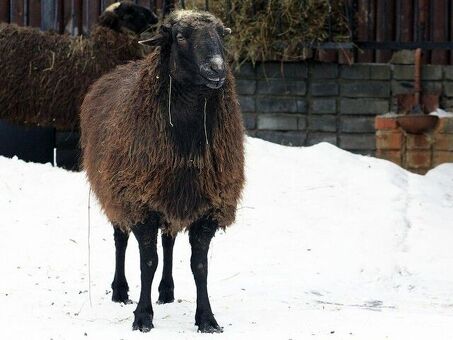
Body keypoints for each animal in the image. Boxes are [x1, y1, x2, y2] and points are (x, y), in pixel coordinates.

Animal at [80, 9, 245, 332]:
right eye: (179, 36)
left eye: (222, 34)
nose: (216, 68)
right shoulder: (139, 200)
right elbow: (148, 263)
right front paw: (143, 317)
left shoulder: (208, 206)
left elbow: (199, 265)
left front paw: (207, 319)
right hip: (116, 191)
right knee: (121, 240)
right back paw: (120, 291)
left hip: (169, 195)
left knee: (168, 241)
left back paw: (167, 291)